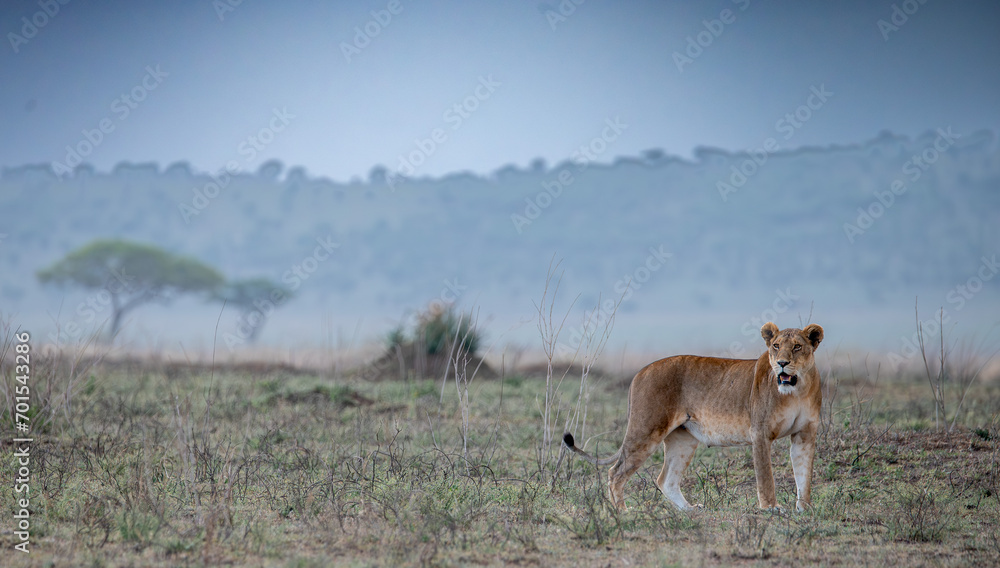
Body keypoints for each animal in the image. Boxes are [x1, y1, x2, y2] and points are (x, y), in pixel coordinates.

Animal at [563, 322, 824, 512]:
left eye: (797, 347)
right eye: (776, 346)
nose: (782, 363)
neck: (795, 391)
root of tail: (640, 372)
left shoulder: (805, 434)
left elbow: (804, 474)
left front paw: (805, 509)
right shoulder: (760, 433)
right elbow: (765, 477)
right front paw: (771, 508)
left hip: (683, 439)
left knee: (666, 479)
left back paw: (689, 510)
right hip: (645, 429)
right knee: (615, 473)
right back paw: (622, 512)